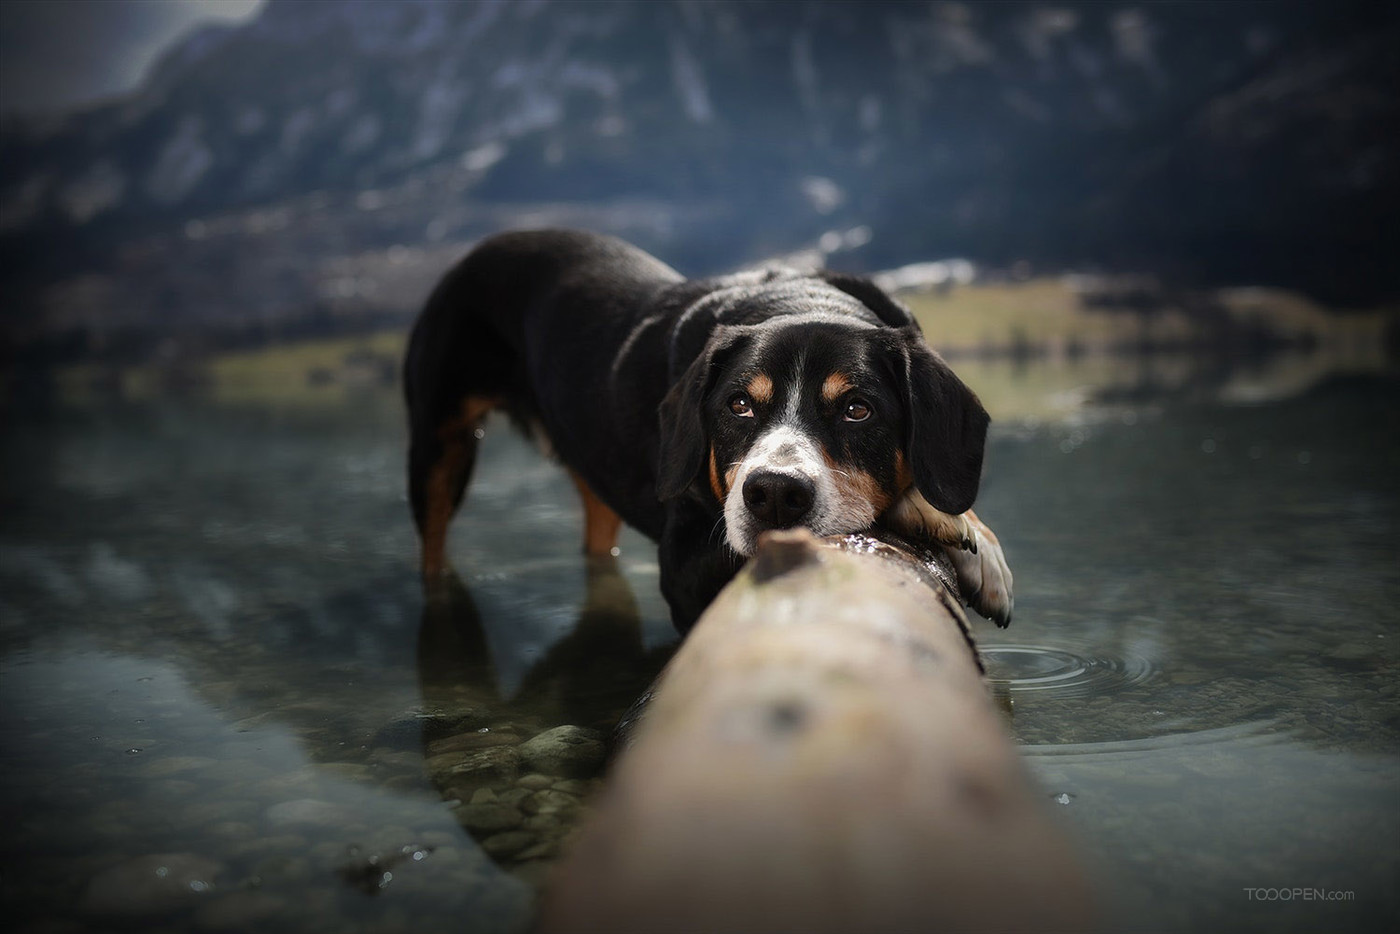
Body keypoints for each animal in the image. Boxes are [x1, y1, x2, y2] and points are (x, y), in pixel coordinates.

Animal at [400, 229, 1013, 632]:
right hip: (437, 449)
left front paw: (976, 540)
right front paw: (951, 523)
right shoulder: (688, 562)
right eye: (738, 405)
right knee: (431, 547)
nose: (774, 494)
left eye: (857, 410)